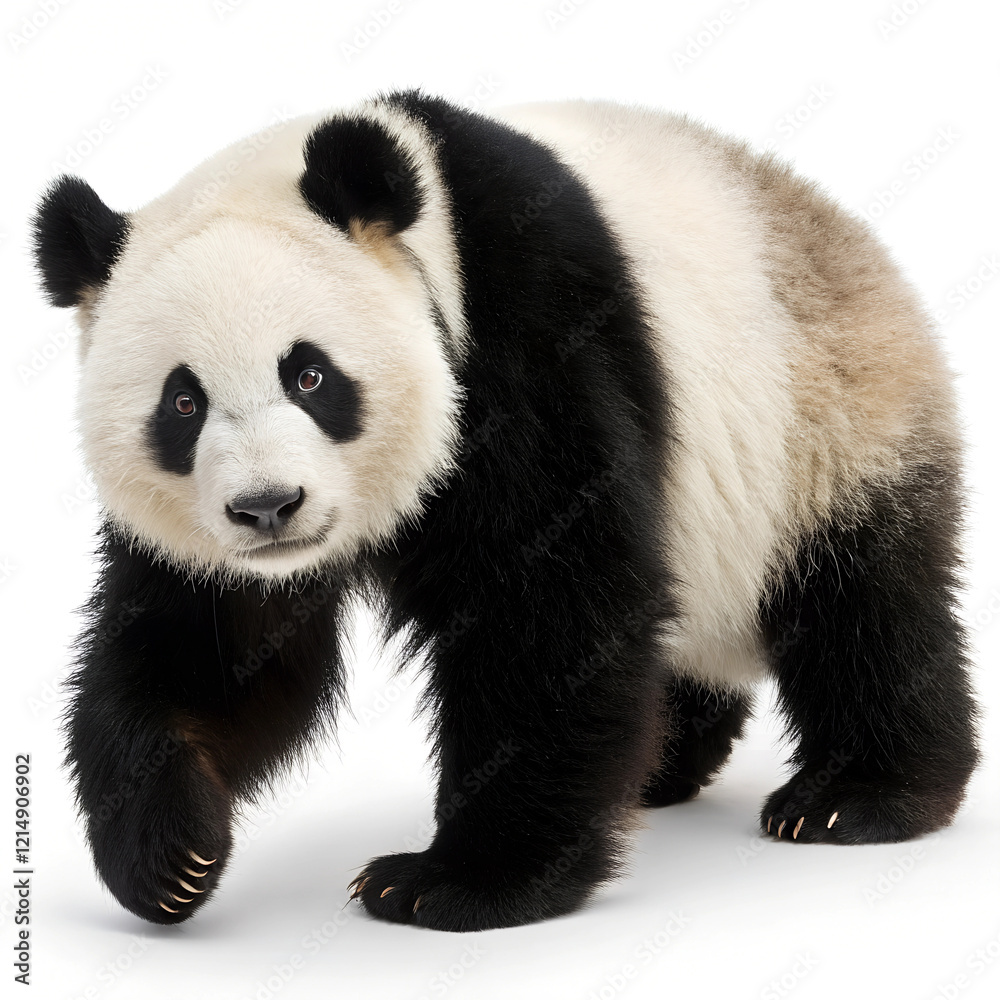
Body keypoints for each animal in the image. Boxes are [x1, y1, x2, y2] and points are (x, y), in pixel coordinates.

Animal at [32, 90, 979, 932]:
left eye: (308, 375)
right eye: (182, 403)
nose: (268, 508)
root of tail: (834, 220)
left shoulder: (528, 339)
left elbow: (552, 607)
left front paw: (456, 882)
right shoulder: (208, 540)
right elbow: (210, 650)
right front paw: (169, 856)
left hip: (826, 417)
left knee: (864, 609)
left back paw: (856, 797)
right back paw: (662, 763)